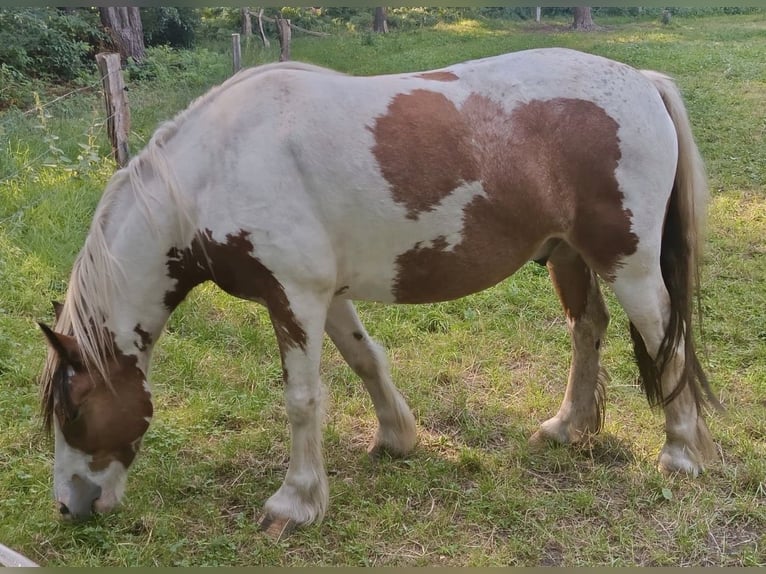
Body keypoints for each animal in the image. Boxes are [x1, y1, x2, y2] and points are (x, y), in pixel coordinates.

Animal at [39, 47, 720, 535]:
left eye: (71, 412)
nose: (69, 507)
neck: (219, 168)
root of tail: (641, 82)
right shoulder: (326, 295)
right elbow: (367, 359)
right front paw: (397, 439)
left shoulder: (294, 298)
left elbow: (302, 400)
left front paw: (295, 503)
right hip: (569, 256)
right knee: (588, 329)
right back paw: (566, 428)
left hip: (627, 264)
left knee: (666, 339)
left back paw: (681, 454)